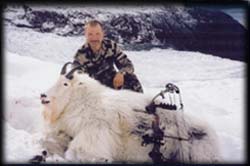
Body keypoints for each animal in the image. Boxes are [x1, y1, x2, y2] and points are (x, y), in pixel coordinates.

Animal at [36, 62, 222, 163]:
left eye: (65, 84)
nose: (43, 96)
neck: (84, 102)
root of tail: (213, 136)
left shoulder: (93, 139)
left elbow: (77, 152)